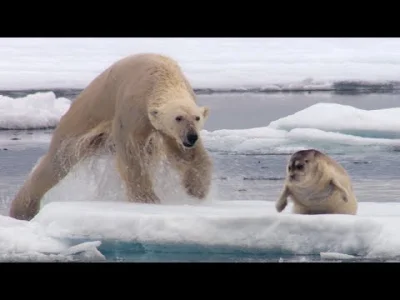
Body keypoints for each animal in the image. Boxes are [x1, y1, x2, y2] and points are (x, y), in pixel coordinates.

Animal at [8, 52, 212, 220]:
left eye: (197, 118)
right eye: (178, 118)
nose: (191, 136)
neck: (161, 76)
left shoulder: (168, 127)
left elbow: (186, 154)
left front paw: (197, 189)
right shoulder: (132, 106)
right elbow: (132, 153)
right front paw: (148, 198)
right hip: (80, 122)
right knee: (57, 162)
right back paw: (22, 209)